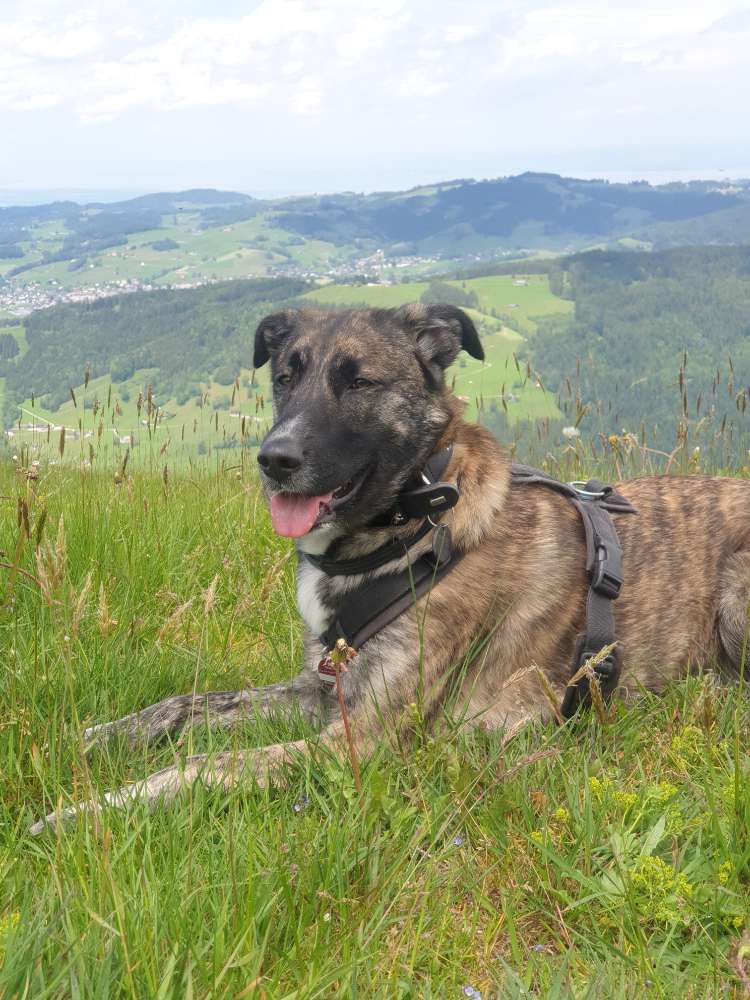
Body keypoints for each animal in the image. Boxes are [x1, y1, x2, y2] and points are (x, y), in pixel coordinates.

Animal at [32, 304, 750, 836]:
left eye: (359, 381)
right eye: (285, 377)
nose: (274, 460)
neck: (415, 524)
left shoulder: (363, 741)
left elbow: (211, 765)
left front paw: (95, 809)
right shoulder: (325, 689)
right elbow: (184, 706)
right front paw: (91, 739)